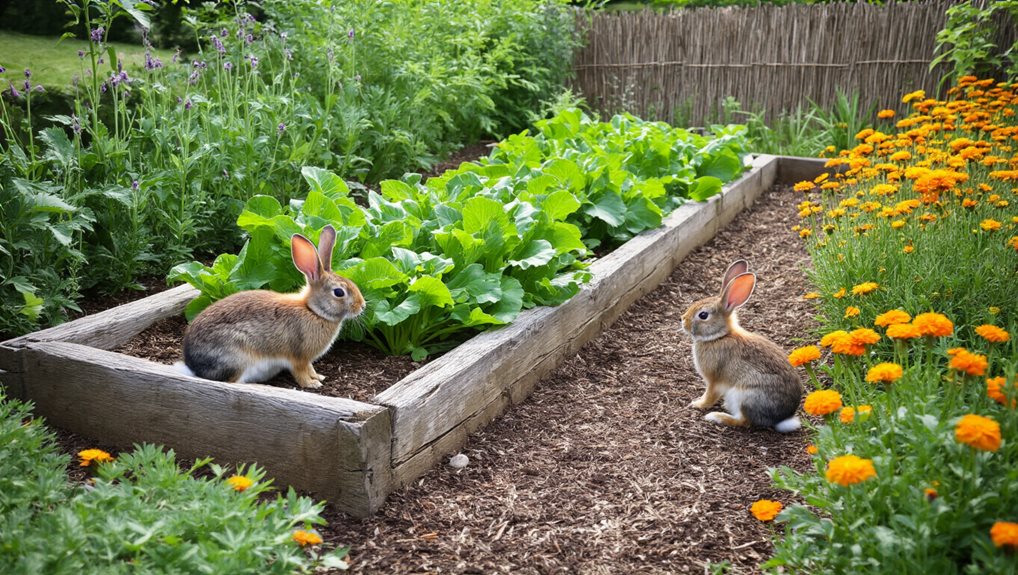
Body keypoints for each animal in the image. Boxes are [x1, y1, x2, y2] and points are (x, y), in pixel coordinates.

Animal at [179, 225, 364, 389]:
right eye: (339, 292)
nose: (362, 306)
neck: (313, 311)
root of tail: (192, 365)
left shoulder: (307, 360)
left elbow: (310, 368)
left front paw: (318, 376)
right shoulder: (298, 357)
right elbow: (300, 372)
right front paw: (312, 384)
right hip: (237, 358)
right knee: (231, 381)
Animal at [680, 260, 802, 432]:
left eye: (703, 315)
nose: (682, 320)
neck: (719, 336)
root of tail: (781, 419)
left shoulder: (713, 380)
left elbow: (710, 395)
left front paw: (697, 404)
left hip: (744, 396)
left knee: (744, 422)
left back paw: (716, 417)